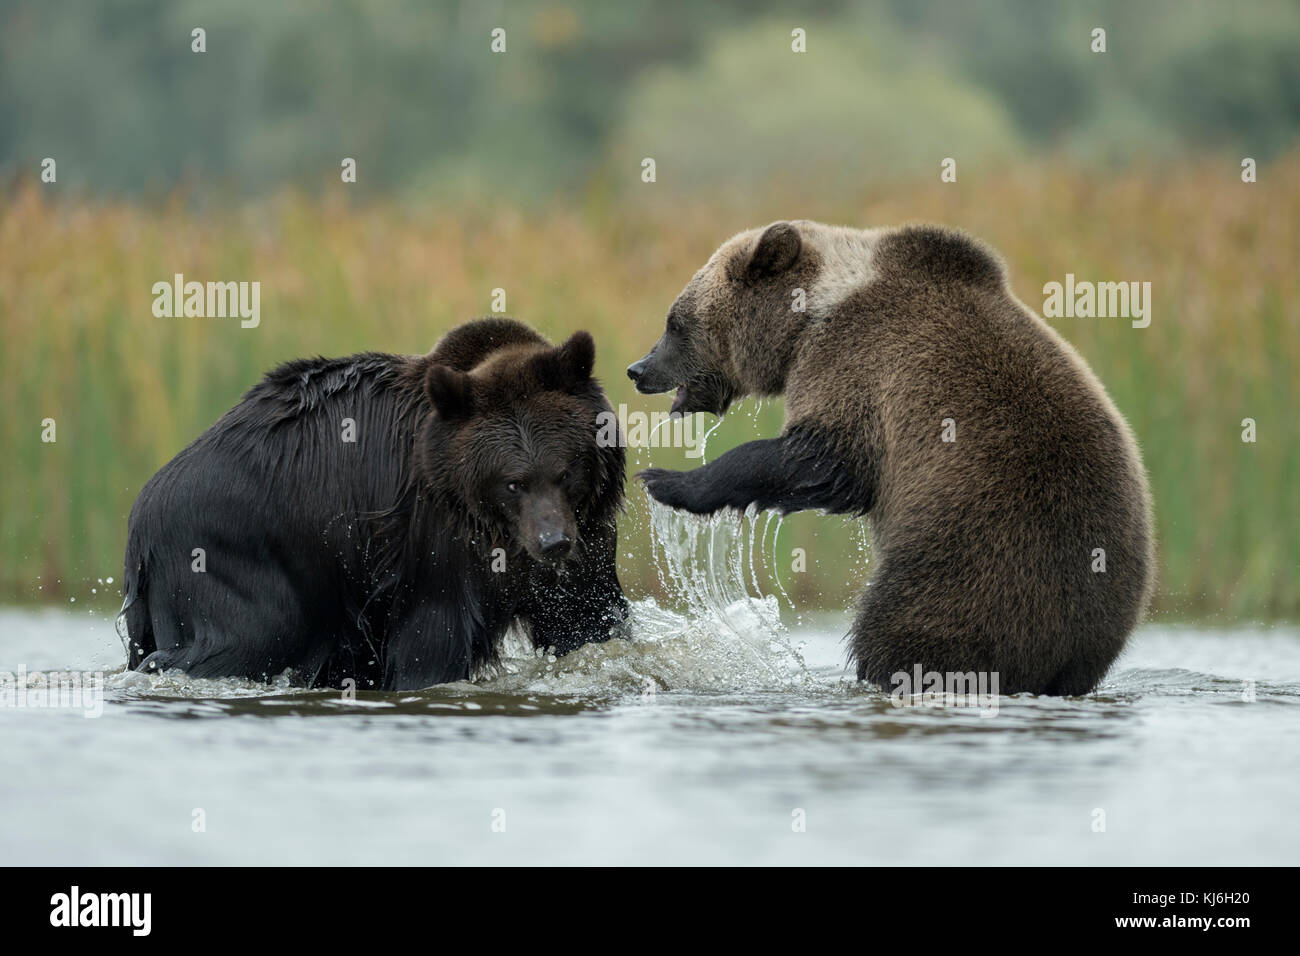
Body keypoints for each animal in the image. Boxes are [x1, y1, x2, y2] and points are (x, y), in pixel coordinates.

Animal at [119, 317, 626, 691]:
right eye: (512, 483)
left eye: (565, 471)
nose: (553, 542)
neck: (495, 531)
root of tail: (140, 515)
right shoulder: (434, 544)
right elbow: (431, 640)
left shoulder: (587, 538)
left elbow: (588, 621)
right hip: (239, 551)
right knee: (246, 637)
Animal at [634, 218, 1154, 697]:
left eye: (674, 322)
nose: (638, 368)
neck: (808, 319)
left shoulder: (857, 364)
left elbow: (824, 460)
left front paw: (667, 480)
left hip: (972, 563)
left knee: (904, 629)